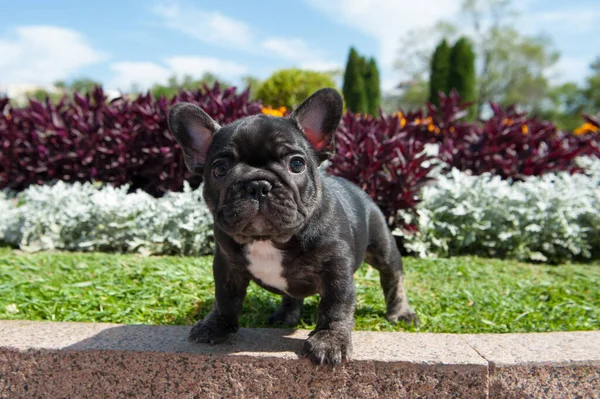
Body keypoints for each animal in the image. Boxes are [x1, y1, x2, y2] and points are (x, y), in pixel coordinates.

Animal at [168, 89, 418, 368]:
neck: (267, 239)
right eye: (220, 169)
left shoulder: (337, 268)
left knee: (393, 277)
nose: (258, 184)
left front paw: (329, 340)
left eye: (296, 165)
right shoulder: (226, 265)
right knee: (292, 294)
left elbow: (336, 304)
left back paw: (401, 312)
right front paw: (216, 324)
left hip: (383, 247)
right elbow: (224, 297)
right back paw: (286, 314)